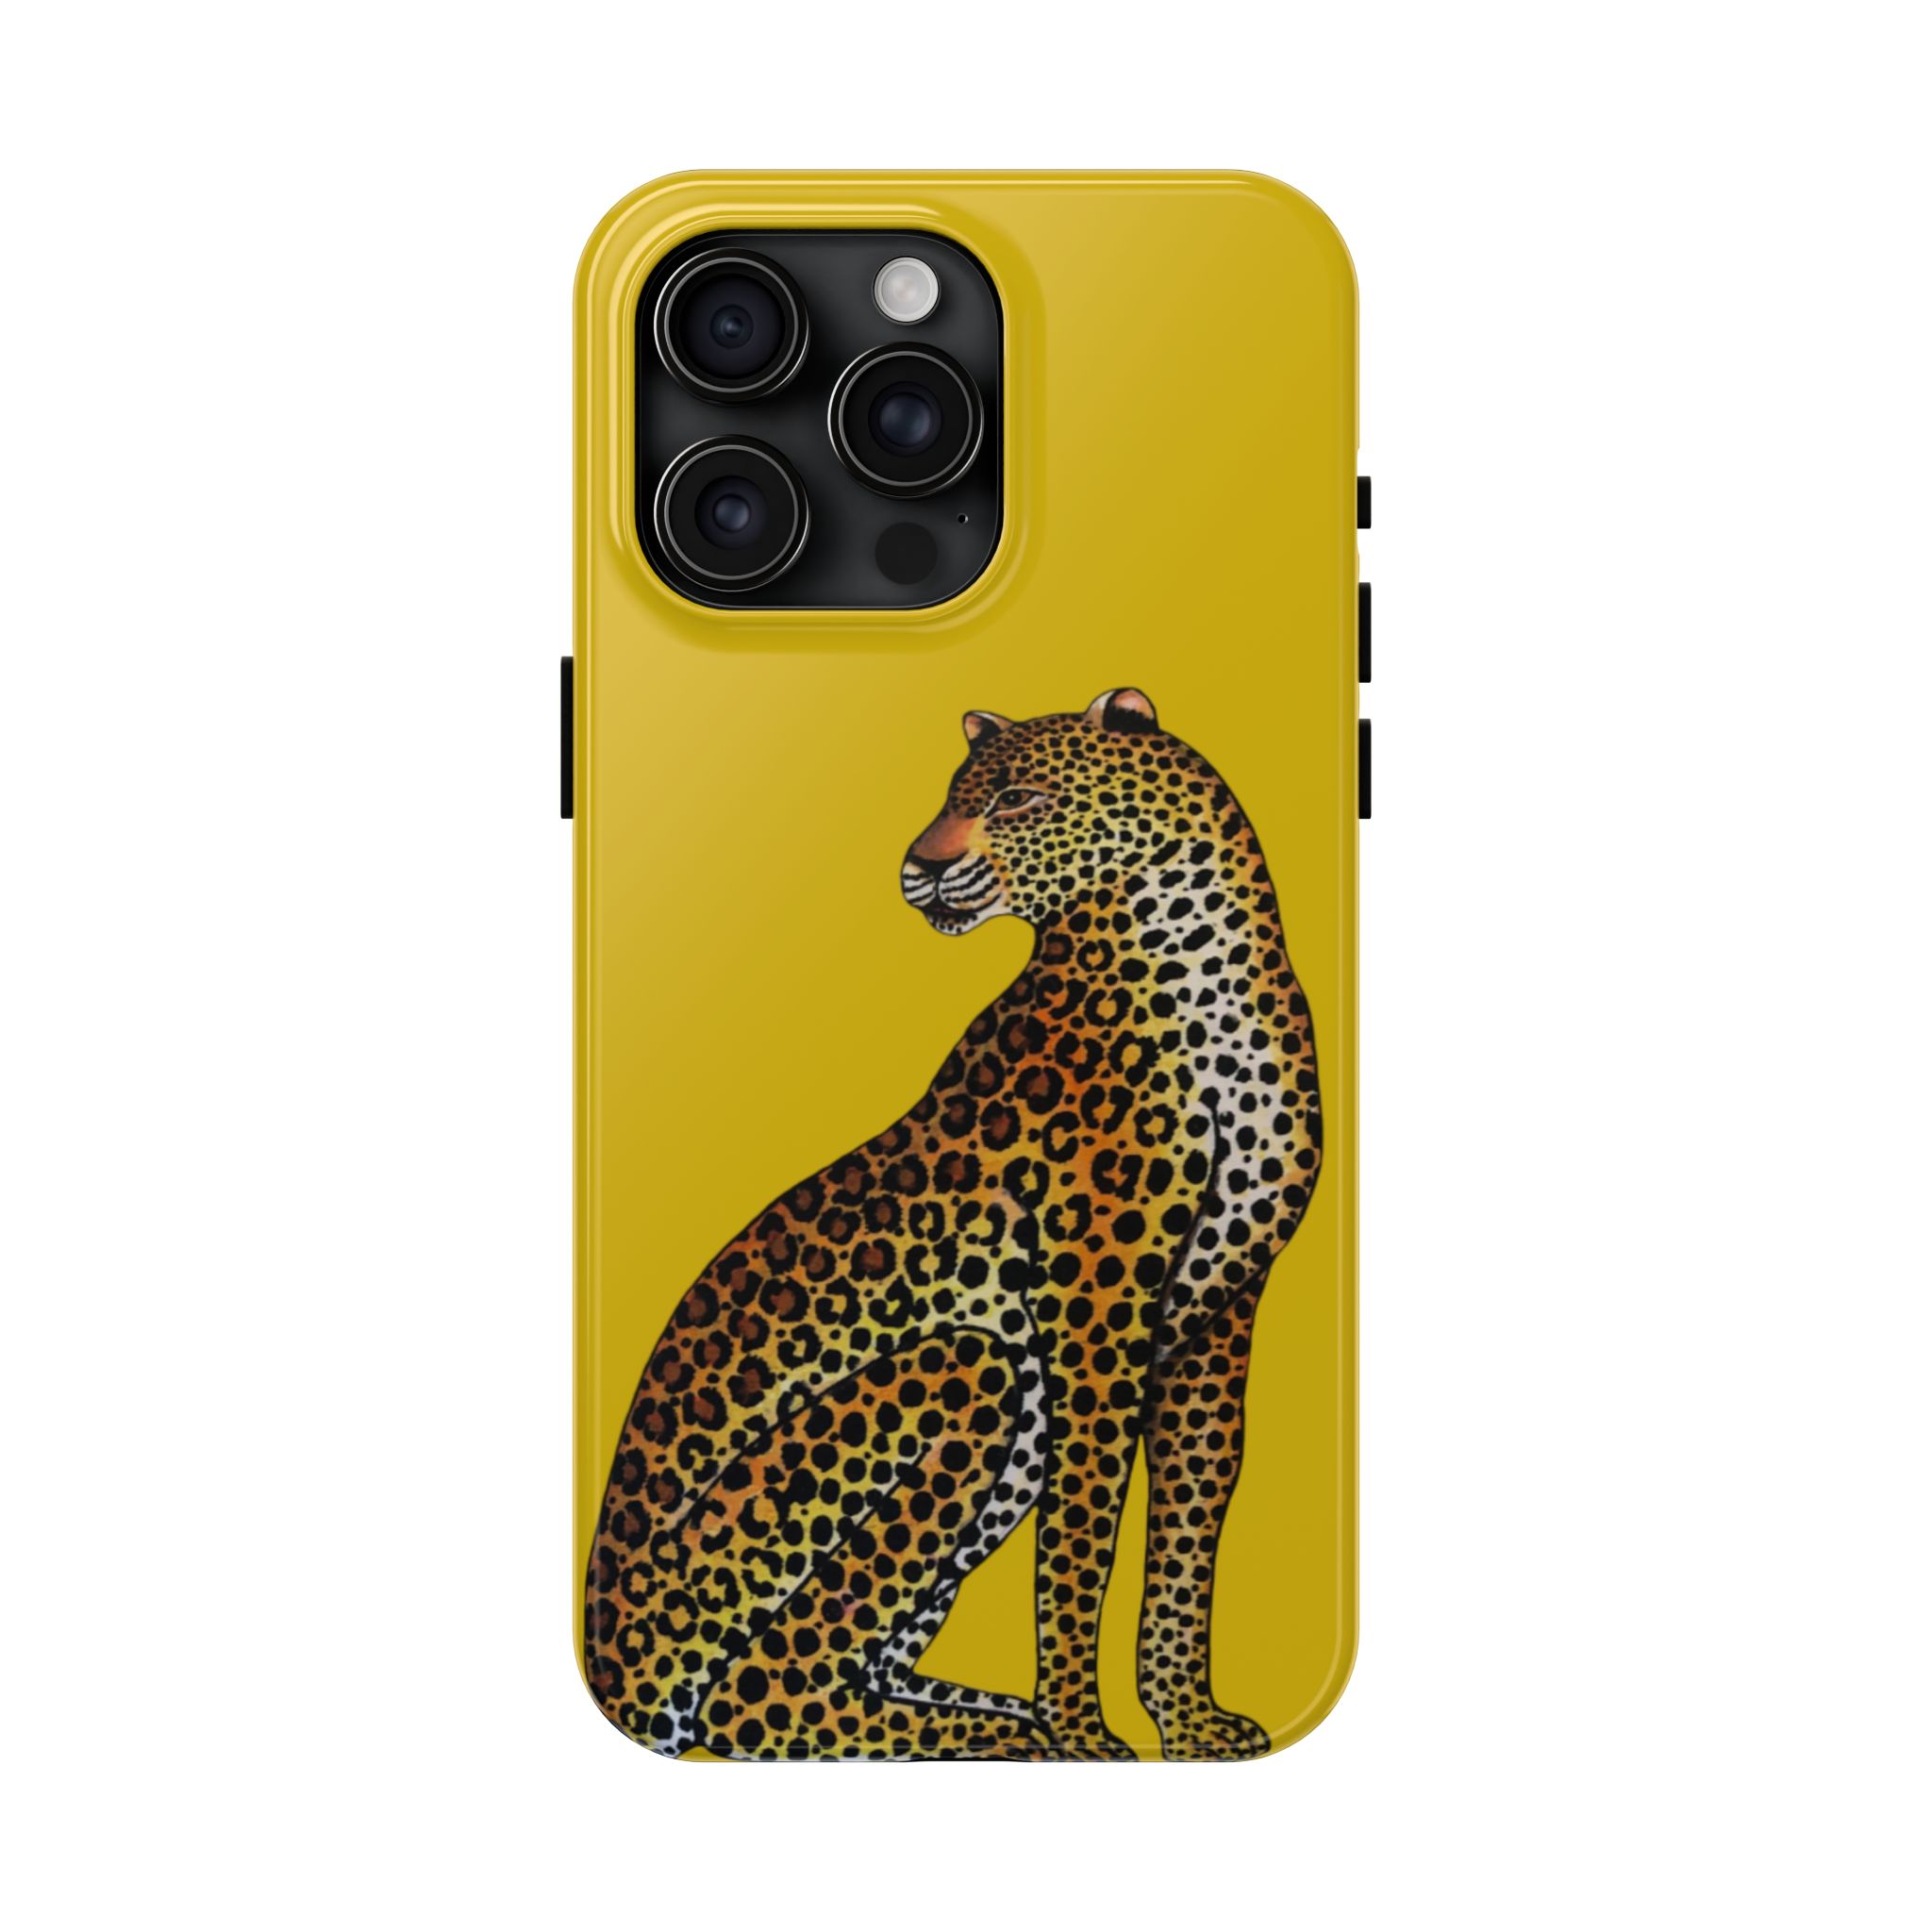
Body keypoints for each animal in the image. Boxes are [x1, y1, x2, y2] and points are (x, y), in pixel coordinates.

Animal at [583, 687, 1322, 1761]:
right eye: (951, 798)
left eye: (1016, 798)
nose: (919, 865)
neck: (1202, 961)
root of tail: (598, 1641)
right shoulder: (1095, 1307)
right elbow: (1081, 1535)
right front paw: (1085, 1734)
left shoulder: (1217, 1316)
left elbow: (1189, 1526)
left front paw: (1185, 1724)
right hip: (968, 1374)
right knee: (769, 1693)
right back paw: (1021, 1737)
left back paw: (991, 1717)